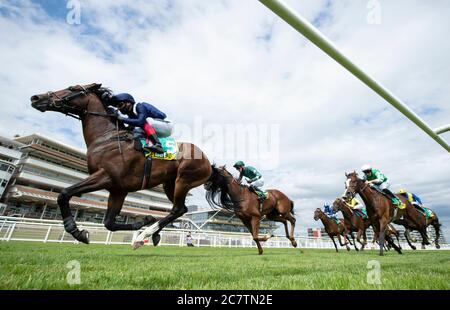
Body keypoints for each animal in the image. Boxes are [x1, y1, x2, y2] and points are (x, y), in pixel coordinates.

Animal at [31, 83, 211, 248]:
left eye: (72, 88)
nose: (36, 98)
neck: (106, 137)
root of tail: (208, 160)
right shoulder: (118, 189)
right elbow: (109, 223)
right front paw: (144, 219)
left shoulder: (105, 176)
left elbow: (64, 193)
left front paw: (76, 231)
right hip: (170, 185)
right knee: (181, 209)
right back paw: (153, 234)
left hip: (184, 179)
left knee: (177, 209)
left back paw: (143, 235)